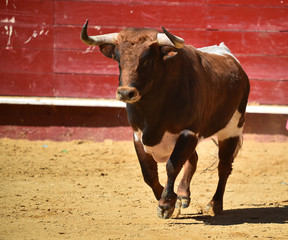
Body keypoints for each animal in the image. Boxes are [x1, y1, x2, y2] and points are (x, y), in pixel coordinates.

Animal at [80, 20, 249, 219]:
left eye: (147, 60)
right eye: (118, 60)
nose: (125, 93)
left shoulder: (188, 132)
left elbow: (172, 166)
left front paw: (166, 204)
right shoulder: (138, 135)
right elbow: (149, 172)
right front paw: (171, 199)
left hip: (231, 130)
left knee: (224, 166)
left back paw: (214, 204)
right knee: (194, 159)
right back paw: (183, 194)